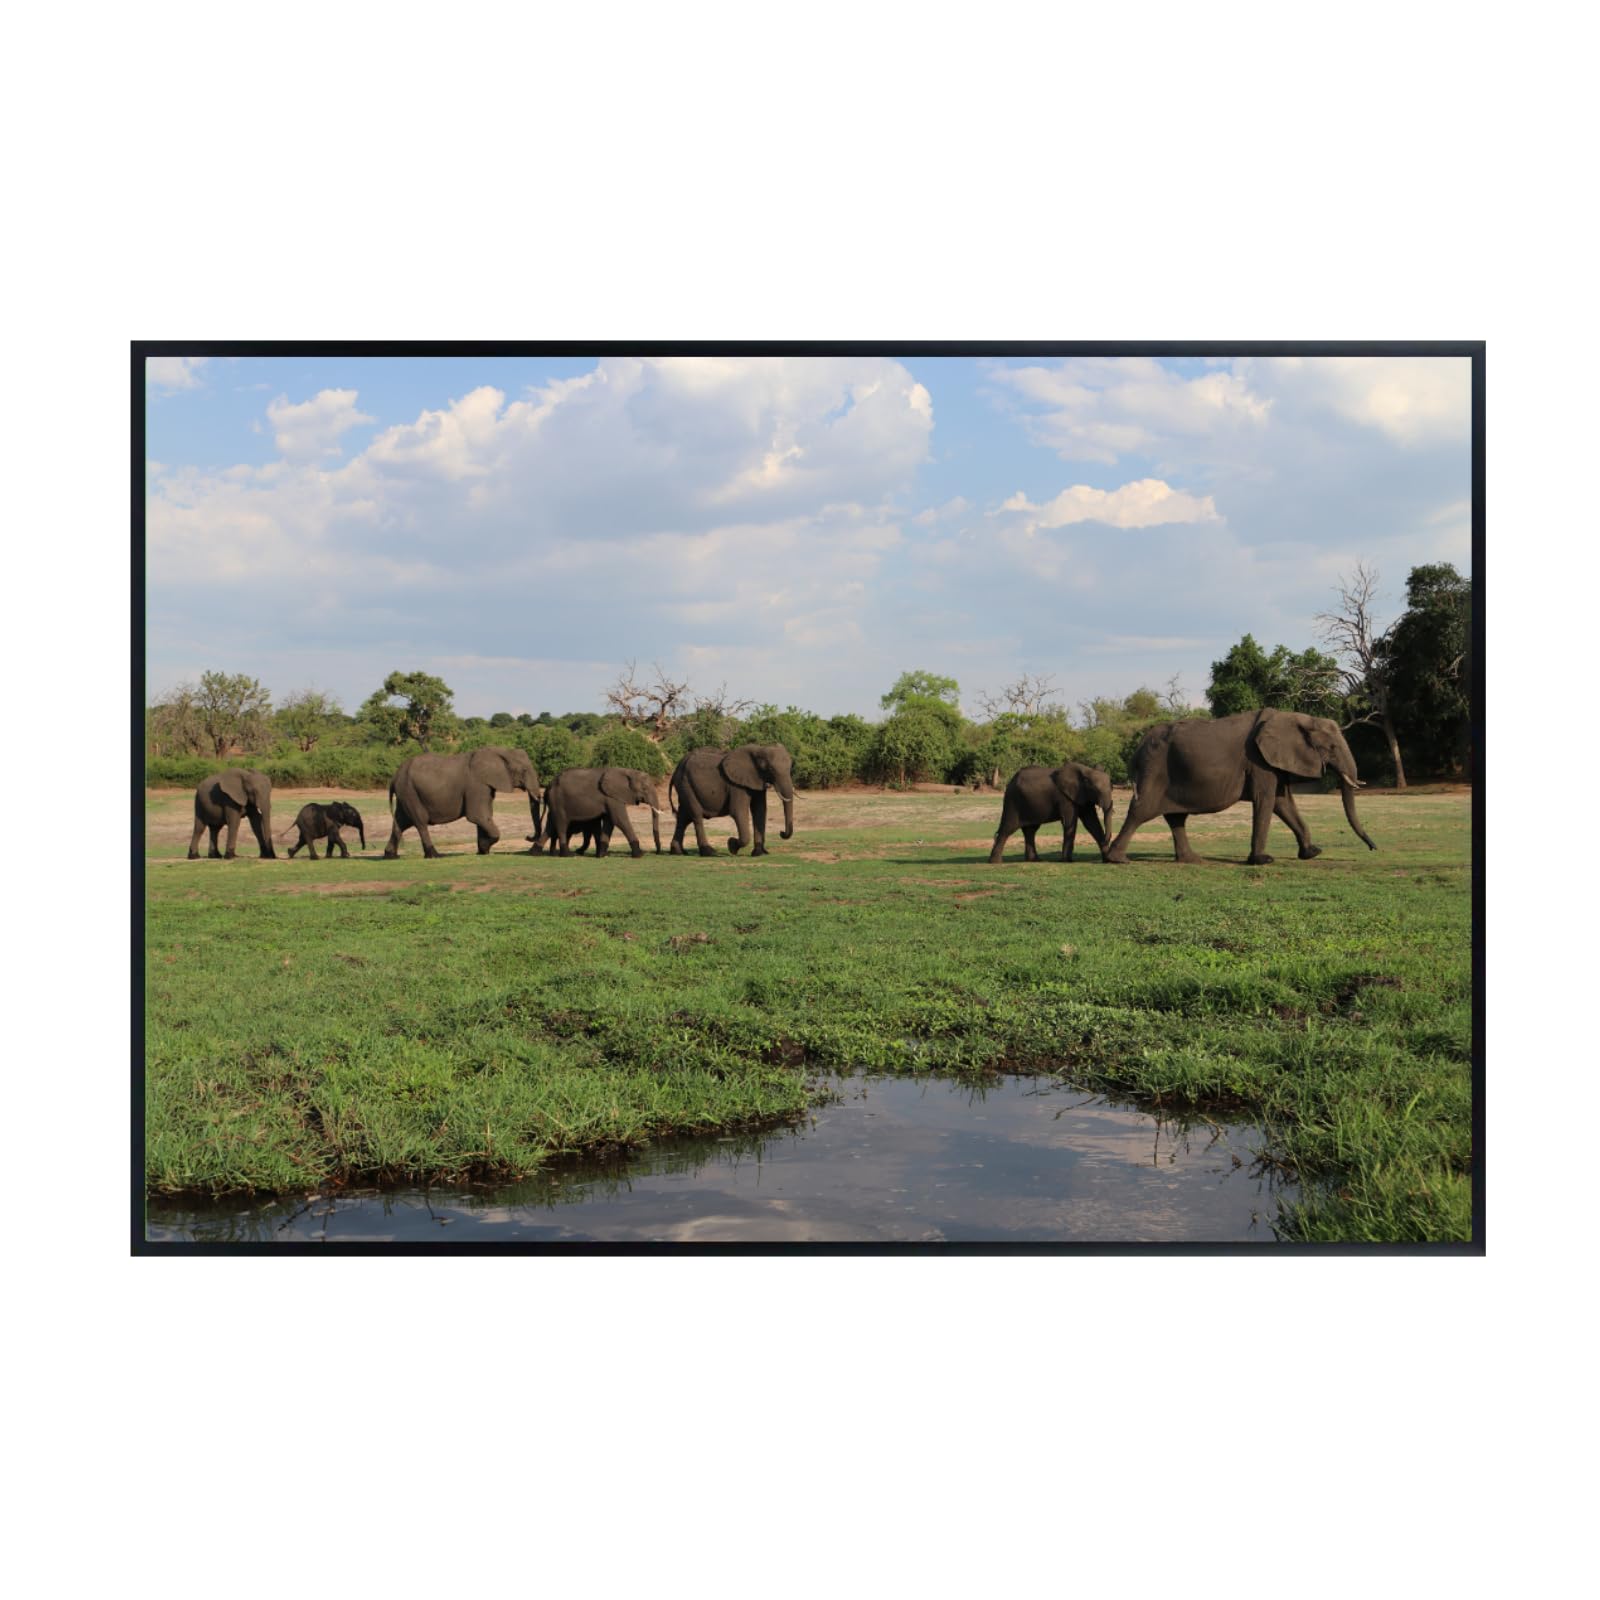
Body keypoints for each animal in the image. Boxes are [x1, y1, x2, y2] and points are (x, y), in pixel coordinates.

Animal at [383, 746, 542, 858]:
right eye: (524, 770)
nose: (527, 836)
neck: (500, 751)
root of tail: (394, 777)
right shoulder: (476, 785)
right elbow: (478, 816)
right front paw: (484, 848)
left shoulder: (485, 786)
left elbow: (484, 817)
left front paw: (482, 851)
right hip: (409, 791)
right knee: (420, 822)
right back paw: (434, 855)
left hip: (406, 793)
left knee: (400, 822)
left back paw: (390, 856)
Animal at [1102, 708, 1378, 865]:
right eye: (1331, 748)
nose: (1373, 848)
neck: (1295, 717)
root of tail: (1138, 746)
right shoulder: (1259, 761)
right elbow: (1266, 800)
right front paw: (1263, 861)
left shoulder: (1273, 761)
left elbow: (1283, 802)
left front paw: (1313, 853)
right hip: (1155, 769)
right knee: (1142, 810)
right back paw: (1117, 860)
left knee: (1176, 817)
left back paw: (1193, 860)